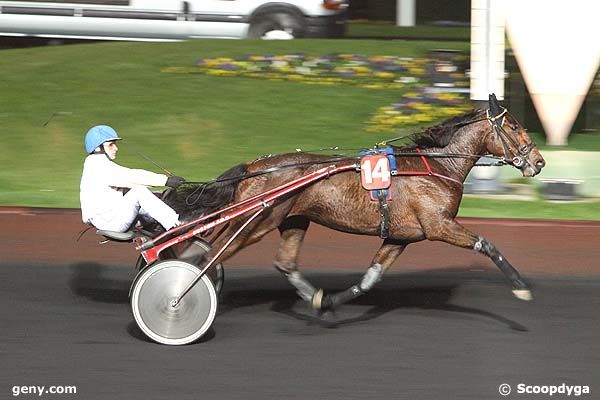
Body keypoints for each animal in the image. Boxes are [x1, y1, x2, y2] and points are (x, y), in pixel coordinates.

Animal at [166, 94, 548, 312]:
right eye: (514, 126)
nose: (539, 161)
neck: (436, 166)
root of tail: (253, 167)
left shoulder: (400, 236)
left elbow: (369, 279)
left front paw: (327, 301)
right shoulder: (439, 226)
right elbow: (487, 244)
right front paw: (522, 288)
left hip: (292, 219)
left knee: (281, 261)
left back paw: (309, 294)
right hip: (257, 221)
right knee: (210, 253)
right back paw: (182, 290)